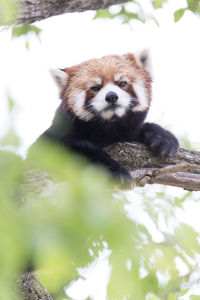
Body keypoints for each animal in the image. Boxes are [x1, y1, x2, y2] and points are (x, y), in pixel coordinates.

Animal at [32, 50, 178, 189]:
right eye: (95, 88)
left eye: (122, 83)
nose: (111, 96)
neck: (109, 127)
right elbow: (79, 148)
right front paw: (117, 173)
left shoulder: (126, 132)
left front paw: (163, 138)